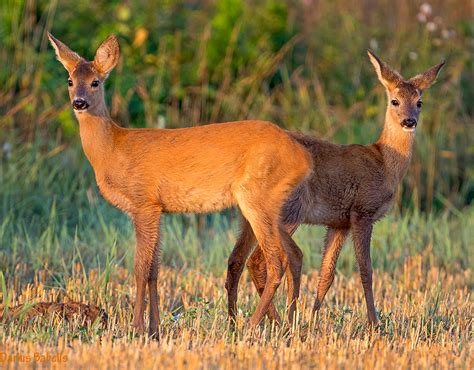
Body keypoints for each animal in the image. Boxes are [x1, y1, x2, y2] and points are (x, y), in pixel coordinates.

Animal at [46, 33, 312, 336]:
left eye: (95, 82)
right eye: (70, 80)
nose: (79, 103)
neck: (112, 150)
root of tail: (303, 157)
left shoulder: (144, 202)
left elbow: (140, 267)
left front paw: (135, 327)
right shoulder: (158, 209)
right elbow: (154, 268)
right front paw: (154, 328)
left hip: (257, 197)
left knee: (275, 260)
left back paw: (251, 326)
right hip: (269, 204)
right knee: (291, 255)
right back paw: (284, 326)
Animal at [225, 50, 444, 326]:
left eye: (419, 102)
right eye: (394, 100)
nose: (409, 121)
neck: (384, 163)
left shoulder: (339, 222)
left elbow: (327, 274)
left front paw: (312, 320)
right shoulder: (363, 211)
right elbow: (366, 271)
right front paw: (374, 324)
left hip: (250, 216)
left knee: (236, 259)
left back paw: (243, 321)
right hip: (289, 212)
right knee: (258, 262)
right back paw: (271, 321)